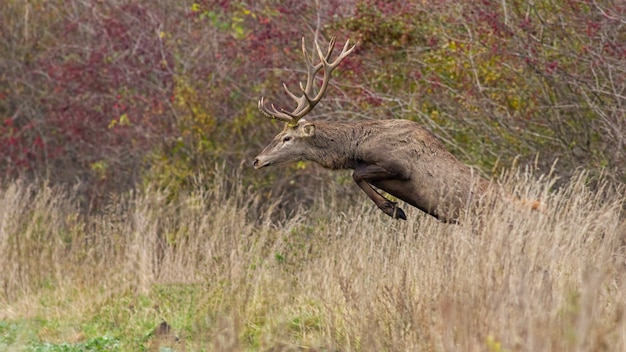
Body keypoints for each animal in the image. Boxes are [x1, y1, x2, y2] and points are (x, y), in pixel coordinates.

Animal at [252, 37, 492, 221]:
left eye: (287, 138)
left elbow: (357, 175)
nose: (257, 160)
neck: (357, 148)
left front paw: (393, 209)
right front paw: (393, 207)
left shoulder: (398, 163)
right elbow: (357, 174)